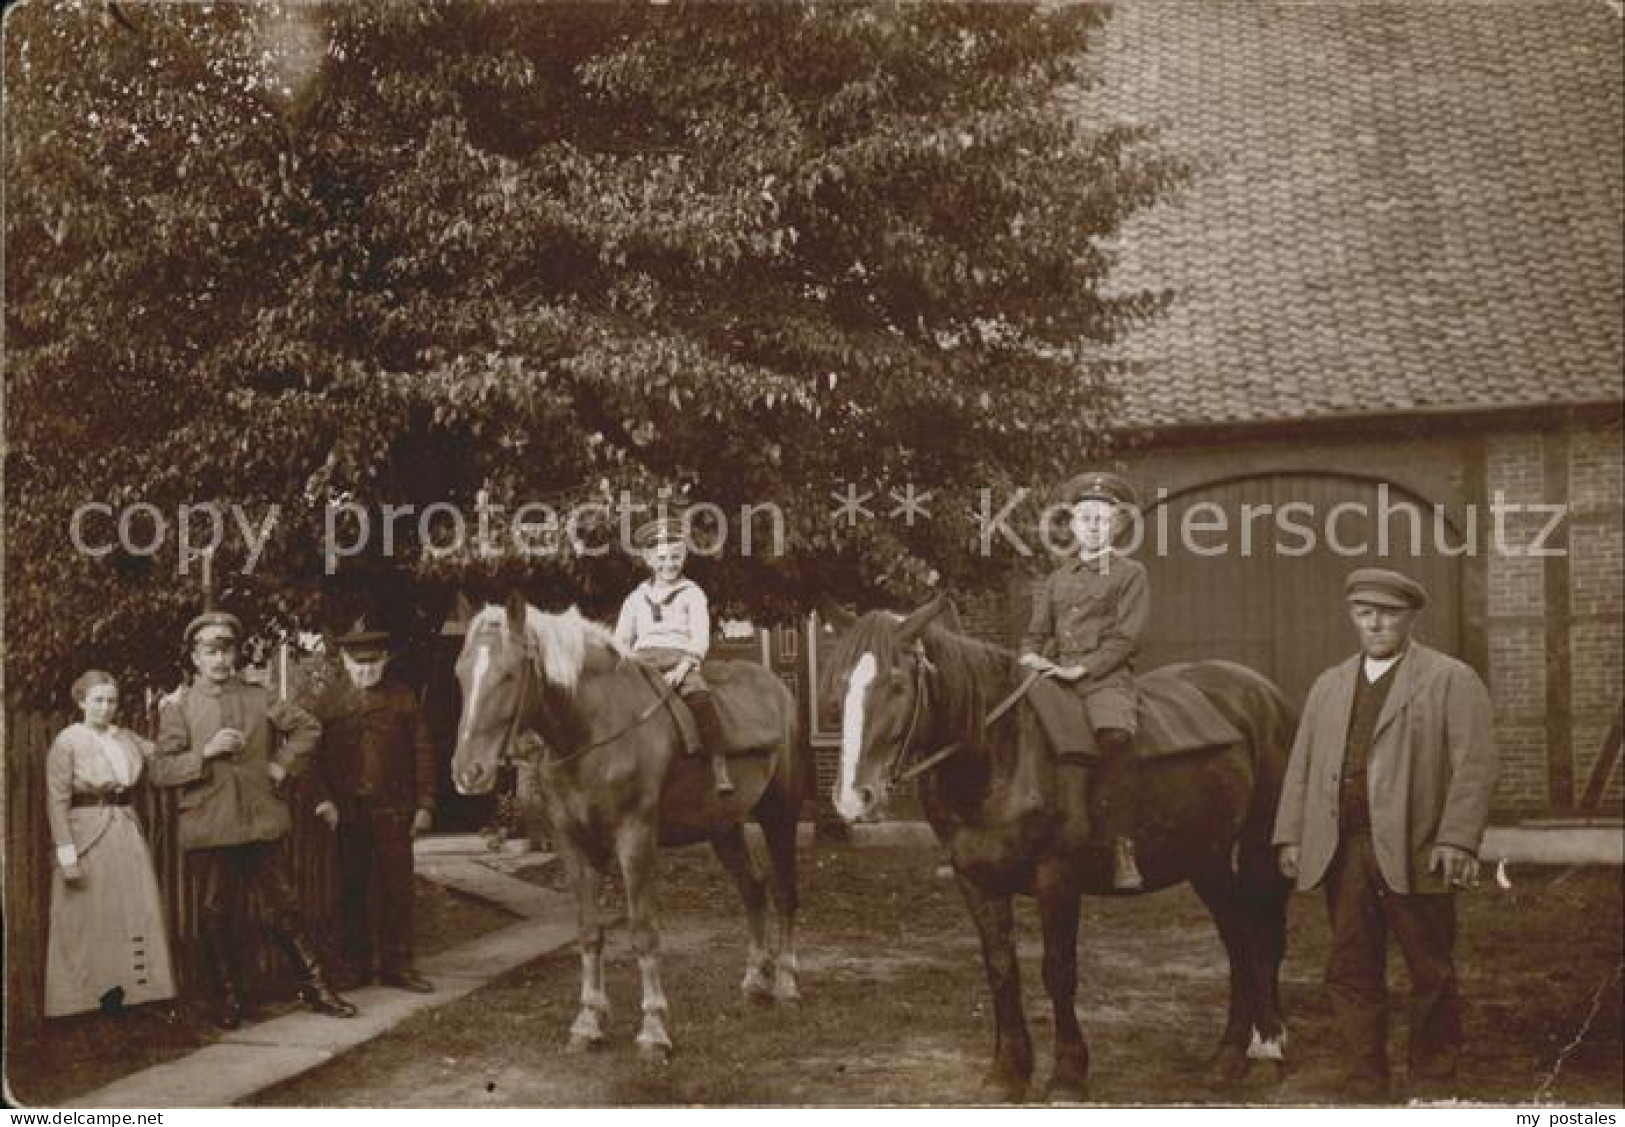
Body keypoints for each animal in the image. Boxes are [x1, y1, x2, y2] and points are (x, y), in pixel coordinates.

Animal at [451, 597, 806, 1065]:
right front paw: (588, 1022)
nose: (467, 772)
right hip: (724, 828)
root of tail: (779, 690)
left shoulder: (634, 838)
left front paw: (653, 1030)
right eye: (459, 672)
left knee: (784, 892)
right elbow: (588, 931)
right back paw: (754, 983)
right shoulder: (573, 843)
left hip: (780, 815)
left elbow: (642, 932)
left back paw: (786, 984)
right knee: (754, 890)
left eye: (509, 674)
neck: (594, 731)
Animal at [825, 600, 1293, 1104]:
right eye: (840, 684)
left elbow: (1058, 971)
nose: (853, 797)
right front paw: (1007, 1071)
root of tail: (1264, 693)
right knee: (1239, 936)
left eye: (897, 683)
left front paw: (1068, 1074)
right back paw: (1229, 1055)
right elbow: (1001, 969)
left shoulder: (1057, 879)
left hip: (1259, 845)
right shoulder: (976, 881)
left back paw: (1269, 1050)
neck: (1003, 756)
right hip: (1206, 858)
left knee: (1264, 938)